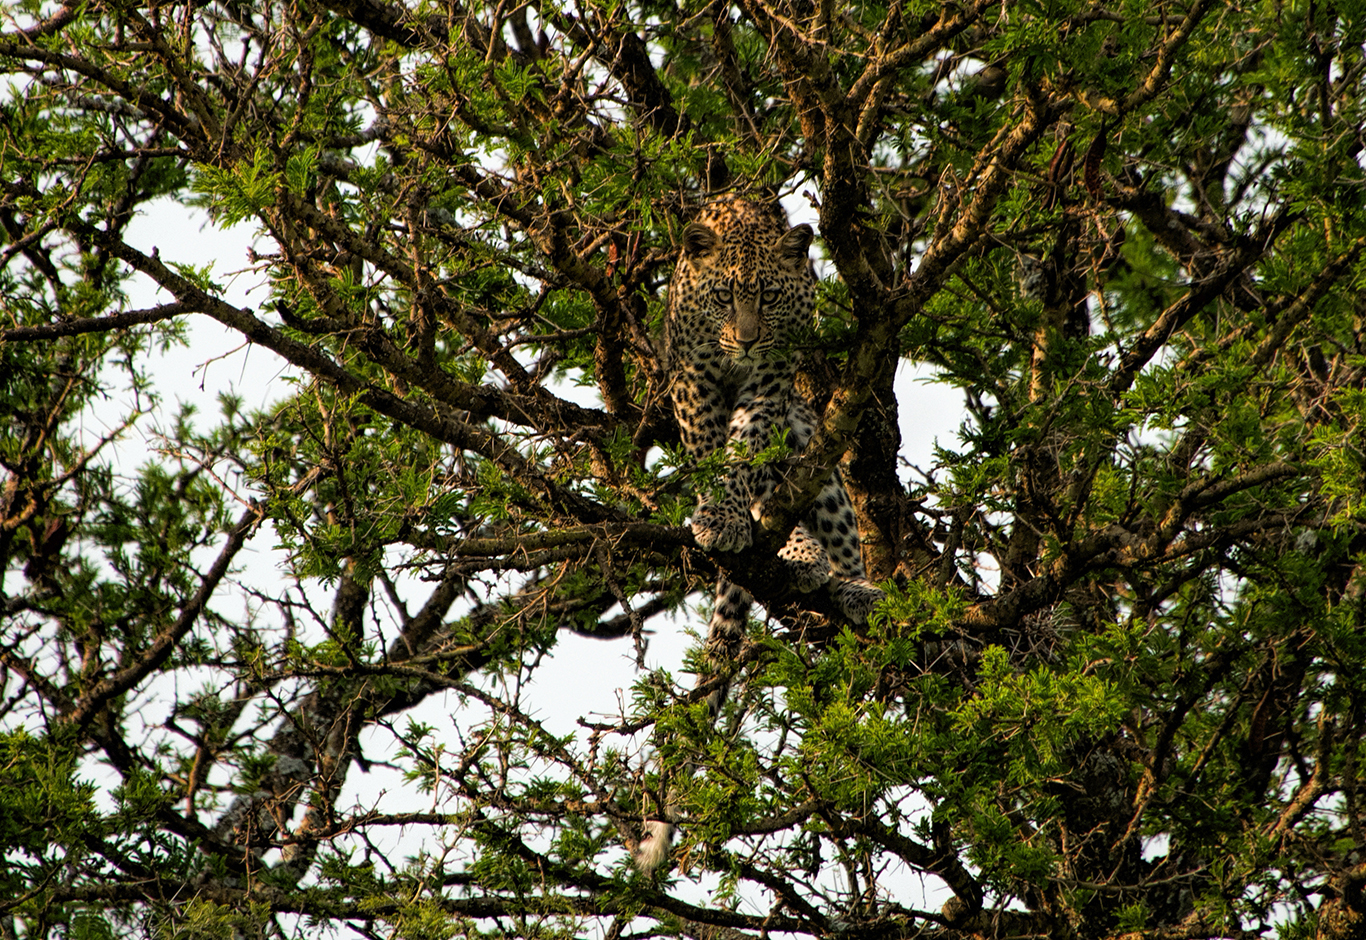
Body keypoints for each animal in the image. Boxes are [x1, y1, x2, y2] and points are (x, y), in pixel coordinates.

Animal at [635, 196, 884, 873]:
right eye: (724, 297)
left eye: (769, 298)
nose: (745, 340)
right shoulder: (694, 380)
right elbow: (709, 453)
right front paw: (718, 516)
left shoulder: (770, 384)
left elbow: (746, 453)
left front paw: (733, 514)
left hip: (813, 446)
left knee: (823, 521)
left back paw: (842, 582)